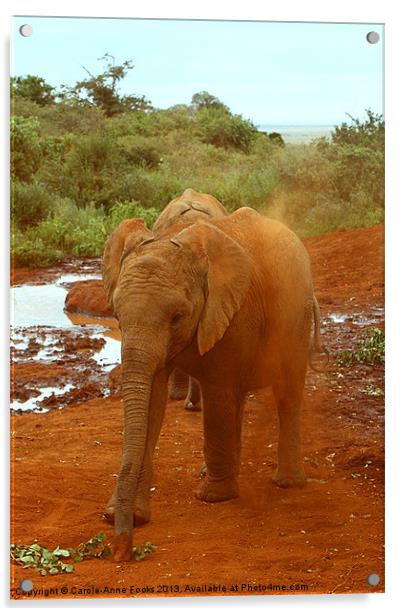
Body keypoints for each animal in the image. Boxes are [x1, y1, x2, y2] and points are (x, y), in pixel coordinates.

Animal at [101, 207, 324, 564]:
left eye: (177, 317)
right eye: (117, 316)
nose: (122, 551)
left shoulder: (232, 312)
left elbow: (218, 391)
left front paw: (213, 497)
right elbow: (153, 399)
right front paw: (131, 515)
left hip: (296, 317)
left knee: (286, 391)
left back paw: (286, 484)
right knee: (239, 399)